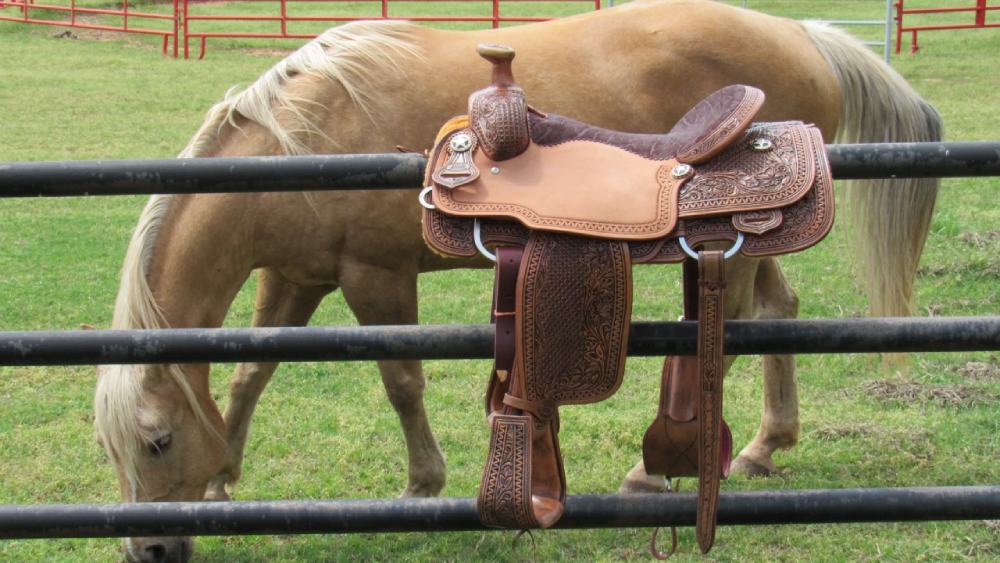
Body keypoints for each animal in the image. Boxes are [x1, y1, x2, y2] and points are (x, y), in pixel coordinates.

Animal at [92, 1, 941, 560]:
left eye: (157, 441)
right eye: (112, 449)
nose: (150, 552)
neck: (304, 136)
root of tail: (805, 35)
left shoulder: (376, 275)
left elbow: (401, 379)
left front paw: (420, 487)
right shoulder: (296, 277)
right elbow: (249, 372)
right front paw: (223, 483)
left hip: (726, 250)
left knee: (727, 338)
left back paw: (650, 474)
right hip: (746, 243)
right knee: (777, 314)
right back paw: (764, 447)